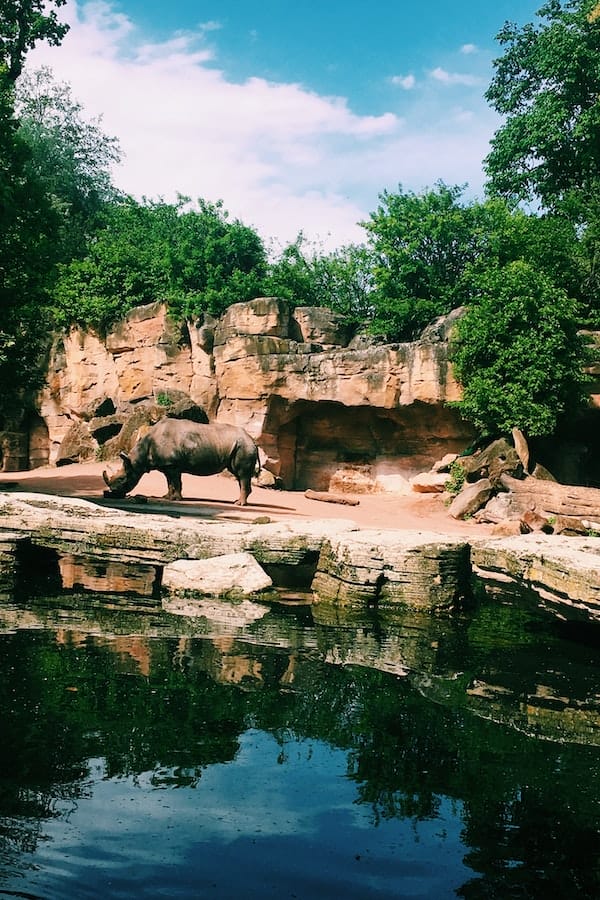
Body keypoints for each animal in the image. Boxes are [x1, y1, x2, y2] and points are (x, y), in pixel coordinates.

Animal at [102, 418, 260, 505]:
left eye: (122, 479)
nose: (112, 492)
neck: (138, 458)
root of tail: (252, 440)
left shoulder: (173, 465)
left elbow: (176, 482)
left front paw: (176, 499)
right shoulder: (166, 466)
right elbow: (169, 483)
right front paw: (167, 497)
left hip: (243, 446)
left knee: (242, 474)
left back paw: (239, 504)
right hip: (239, 445)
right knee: (238, 474)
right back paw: (238, 501)